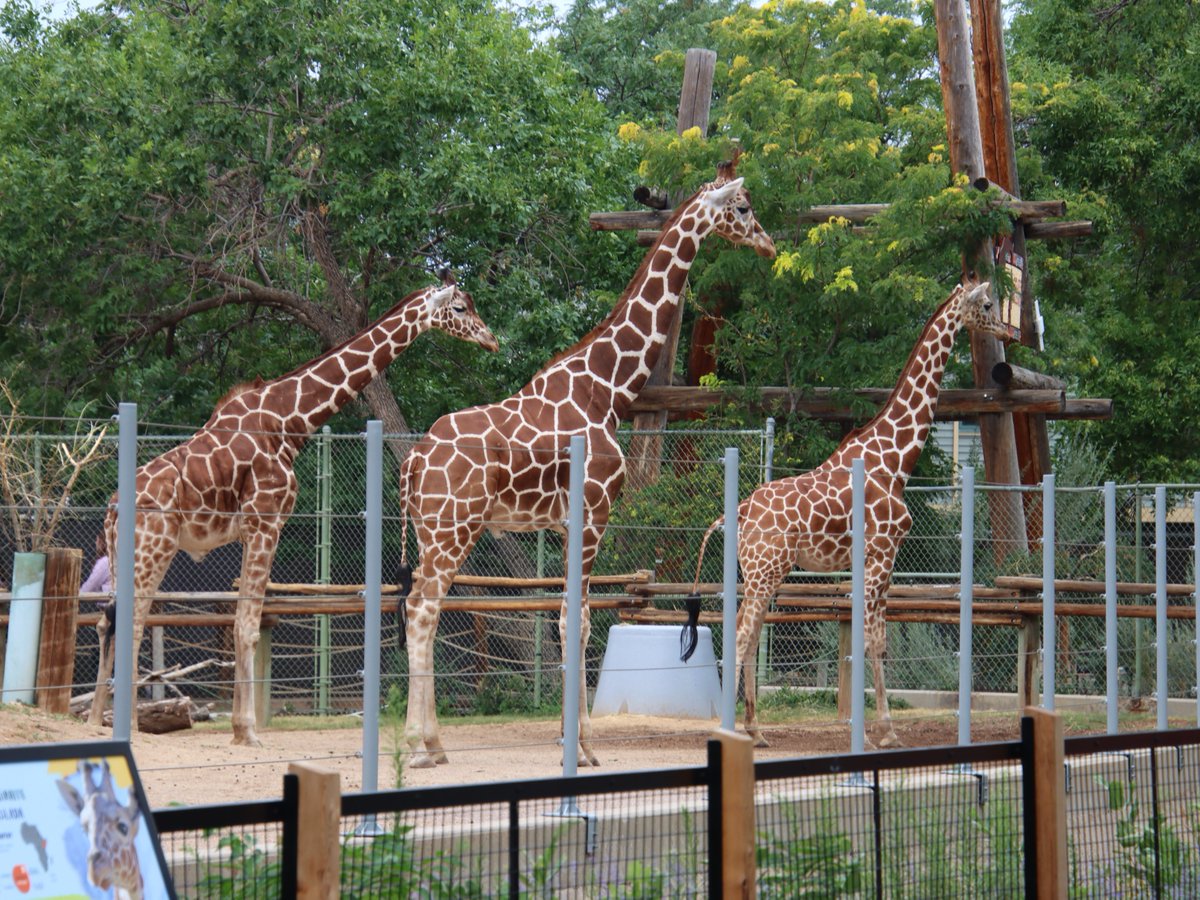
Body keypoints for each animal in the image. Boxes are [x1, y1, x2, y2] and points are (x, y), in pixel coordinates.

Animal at [89, 272, 498, 746]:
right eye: (460, 308)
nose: (491, 340)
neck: (288, 421)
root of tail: (111, 511)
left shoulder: (257, 528)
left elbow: (244, 620)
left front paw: (240, 727)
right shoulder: (266, 521)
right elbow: (246, 623)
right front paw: (246, 731)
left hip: (134, 555)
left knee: (109, 622)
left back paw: (97, 720)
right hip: (152, 549)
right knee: (130, 622)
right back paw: (129, 726)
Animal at [398, 159, 776, 768]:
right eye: (742, 207)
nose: (767, 243)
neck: (610, 389)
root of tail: (412, 459)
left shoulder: (570, 521)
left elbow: (567, 617)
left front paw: (572, 740)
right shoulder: (595, 514)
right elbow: (577, 620)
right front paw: (583, 748)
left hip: (436, 530)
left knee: (422, 611)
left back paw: (434, 744)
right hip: (451, 529)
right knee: (421, 611)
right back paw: (417, 746)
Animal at [682, 280, 1005, 749]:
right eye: (988, 304)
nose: (1007, 335)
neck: (895, 460)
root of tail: (739, 512)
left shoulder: (880, 561)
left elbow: (878, 642)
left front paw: (885, 732)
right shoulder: (882, 554)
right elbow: (868, 642)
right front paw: (876, 734)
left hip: (762, 571)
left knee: (750, 630)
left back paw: (756, 729)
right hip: (765, 569)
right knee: (742, 633)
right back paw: (735, 728)